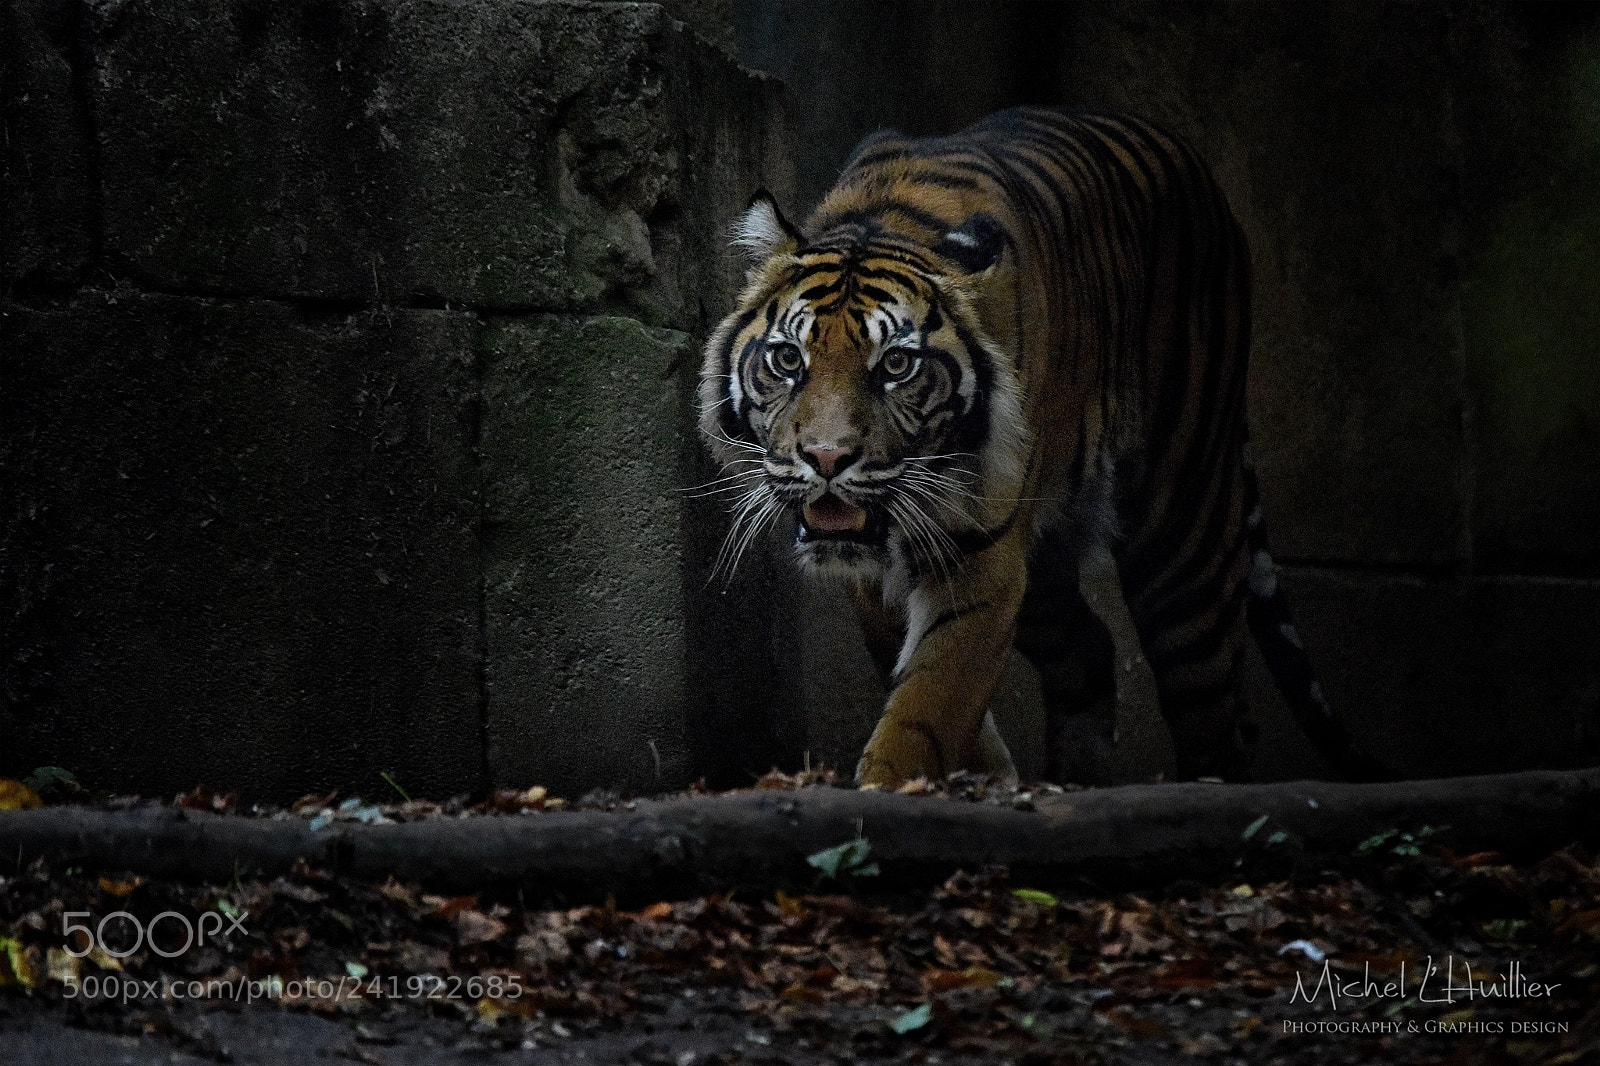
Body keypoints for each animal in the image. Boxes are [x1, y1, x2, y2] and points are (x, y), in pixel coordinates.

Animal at [697, 107, 1386, 788]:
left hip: (1182, 530)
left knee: (1213, 706)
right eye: (789, 359)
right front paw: (985, 772)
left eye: (895, 365)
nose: (827, 458)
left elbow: (932, 699)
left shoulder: (979, 552)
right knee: (1091, 648)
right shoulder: (886, 573)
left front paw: (896, 783)